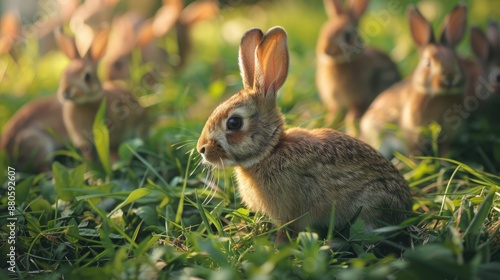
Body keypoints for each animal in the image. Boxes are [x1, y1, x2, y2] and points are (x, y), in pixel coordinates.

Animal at [55, 27, 148, 163]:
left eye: (87, 77)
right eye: (64, 74)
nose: (65, 92)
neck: (83, 103)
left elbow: (112, 149)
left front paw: (114, 162)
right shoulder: (84, 142)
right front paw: (88, 167)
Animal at [195, 27, 410, 244]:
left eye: (234, 123)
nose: (201, 149)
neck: (270, 151)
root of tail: (405, 205)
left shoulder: (288, 213)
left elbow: (286, 230)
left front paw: (277, 245)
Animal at [316, 0, 402, 136]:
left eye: (347, 36)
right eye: (325, 29)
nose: (325, 50)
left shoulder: (358, 101)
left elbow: (352, 118)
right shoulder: (335, 104)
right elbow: (334, 116)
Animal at [360, 3, 468, 158]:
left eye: (457, 61)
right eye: (428, 63)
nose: (449, 78)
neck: (439, 95)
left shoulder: (448, 135)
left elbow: (444, 151)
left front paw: (445, 161)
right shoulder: (411, 135)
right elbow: (413, 152)